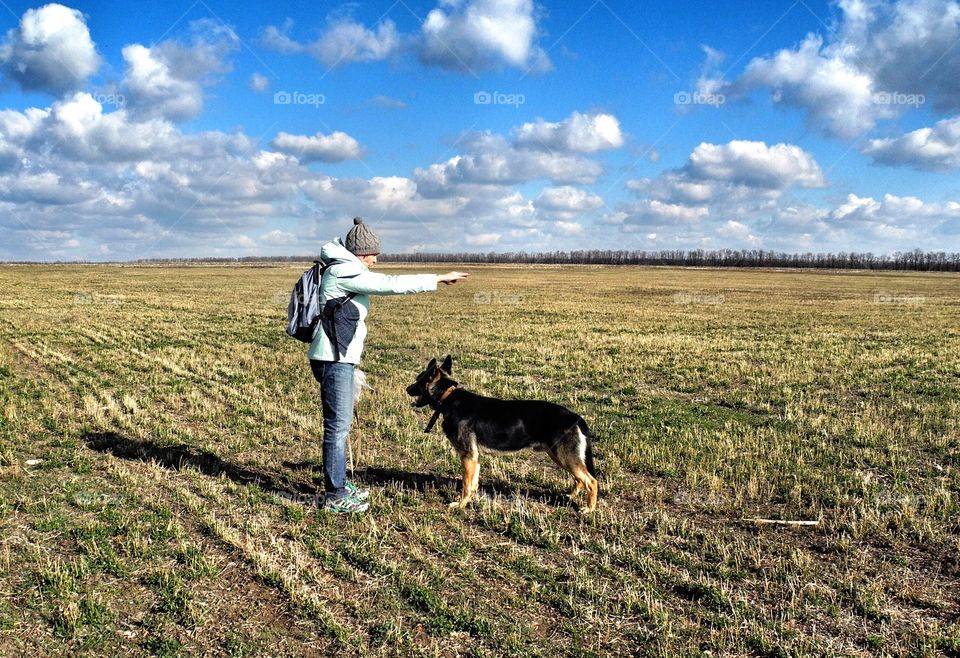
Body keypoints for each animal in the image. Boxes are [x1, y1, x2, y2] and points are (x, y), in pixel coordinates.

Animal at [404, 354, 600, 512]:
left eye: (418, 380)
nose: (406, 389)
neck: (448, 396)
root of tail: (577, 418)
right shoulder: (474, 458)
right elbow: (473, 484)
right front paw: (468, 502)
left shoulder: (468, 456)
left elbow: (466, 484)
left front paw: (460, 505)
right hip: (559, 456)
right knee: (580, 480)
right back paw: (571, 497)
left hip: (565, 457)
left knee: (591, 481)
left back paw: (589, 509)